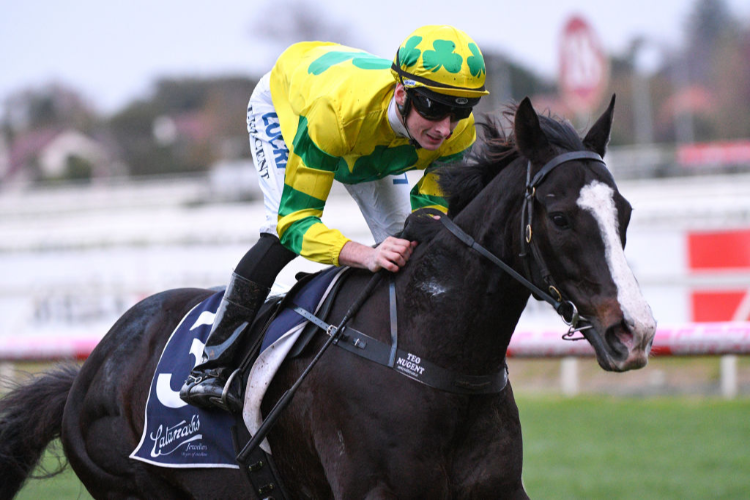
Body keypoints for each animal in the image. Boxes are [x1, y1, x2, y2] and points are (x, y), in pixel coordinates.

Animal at [0, 95, 656, 498]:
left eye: (624, 212)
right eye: (560, 217)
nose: (635, 332)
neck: (431, 350)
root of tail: (88, 370)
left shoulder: (495, 487)